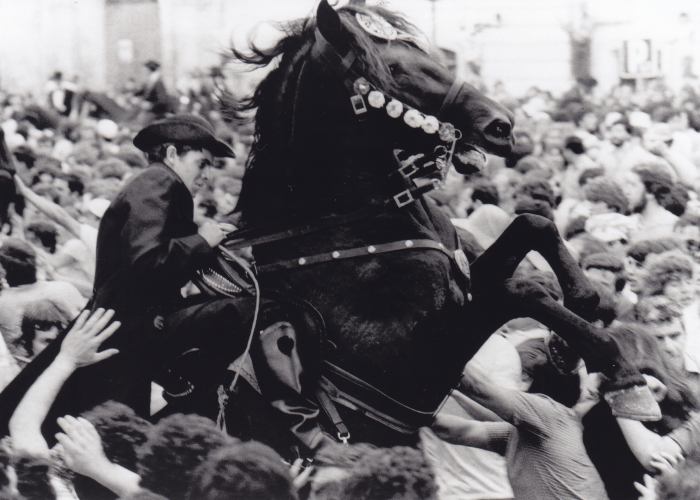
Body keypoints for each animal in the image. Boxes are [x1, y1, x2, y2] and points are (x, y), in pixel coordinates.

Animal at [217, 0, 656, 446]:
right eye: (394, 68)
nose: (502, 126)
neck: (343, 227)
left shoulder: (467, 284)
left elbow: (534, 225)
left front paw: (581, 311)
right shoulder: (421, 365)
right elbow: (521, 290)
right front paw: (621, 371)